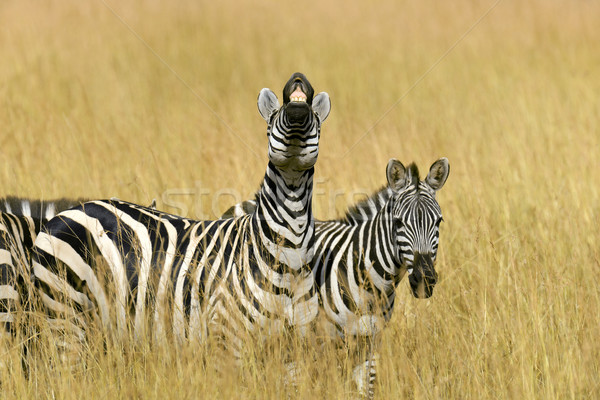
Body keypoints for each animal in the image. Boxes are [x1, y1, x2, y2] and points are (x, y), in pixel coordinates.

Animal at [31, 73, 332, 360]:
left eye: (317, 123)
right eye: (271, 122)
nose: (297, 80)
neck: (289, 255)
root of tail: (65, 213)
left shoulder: (294, 349)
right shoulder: (227, 339)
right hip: (65, 316)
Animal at [220, 157, 450, 396]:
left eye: (438, 222)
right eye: (398, 223)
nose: (424, 280)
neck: (371, 283)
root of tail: (246, 203)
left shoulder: (369, 343)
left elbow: (366, 390)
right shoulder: (319, 340)